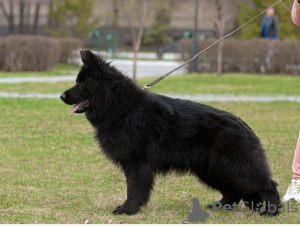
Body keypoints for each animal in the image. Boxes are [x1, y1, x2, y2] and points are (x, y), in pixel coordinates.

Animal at [61, 50, 282, 216]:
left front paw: (128, 209)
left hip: (234, 167)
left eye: (81, 83)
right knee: (234, 191)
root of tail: (244, 125)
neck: (123, 108)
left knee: (267, 184)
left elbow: (134, 189)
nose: (61, 96)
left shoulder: (137, 163)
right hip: (213, 170)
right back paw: (221, 206)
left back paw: (272, 210)